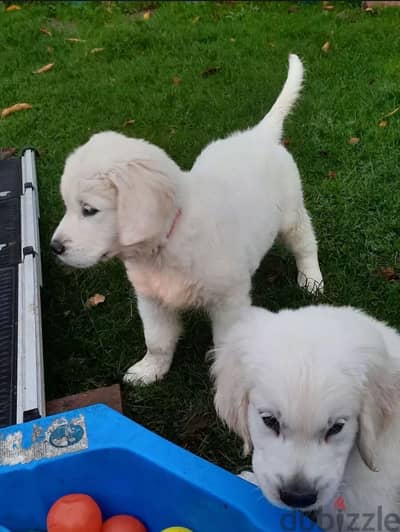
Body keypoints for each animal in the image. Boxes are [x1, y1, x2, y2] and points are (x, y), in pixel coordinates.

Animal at [51, 56, 324, 384]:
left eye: (89, 210)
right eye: (67, 206)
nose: (54, 248)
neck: (168, 240)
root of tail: (258, 134)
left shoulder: (228, 300)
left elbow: (225, 343)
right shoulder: (151, 299)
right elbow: (156, 340)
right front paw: (149, 370)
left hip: (291, 214)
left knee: (305, 242)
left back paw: (311, 279)